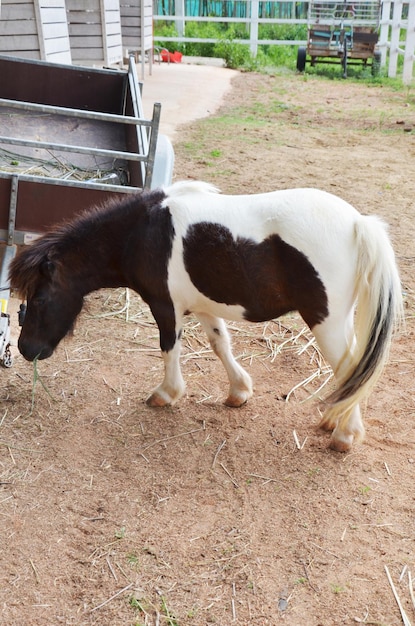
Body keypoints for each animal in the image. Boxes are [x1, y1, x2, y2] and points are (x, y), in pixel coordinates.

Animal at [9, 180, 404, 448]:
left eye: (39, 299)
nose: (26, 349)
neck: (141, 232)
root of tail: (357, 224)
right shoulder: (202, 306)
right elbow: (220, 344)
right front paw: (238, 392)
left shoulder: (165, 306)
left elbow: (169, 349)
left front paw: (166, 393)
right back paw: (334, 420)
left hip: (327, 322)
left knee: (351, 367)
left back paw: (345, 434)